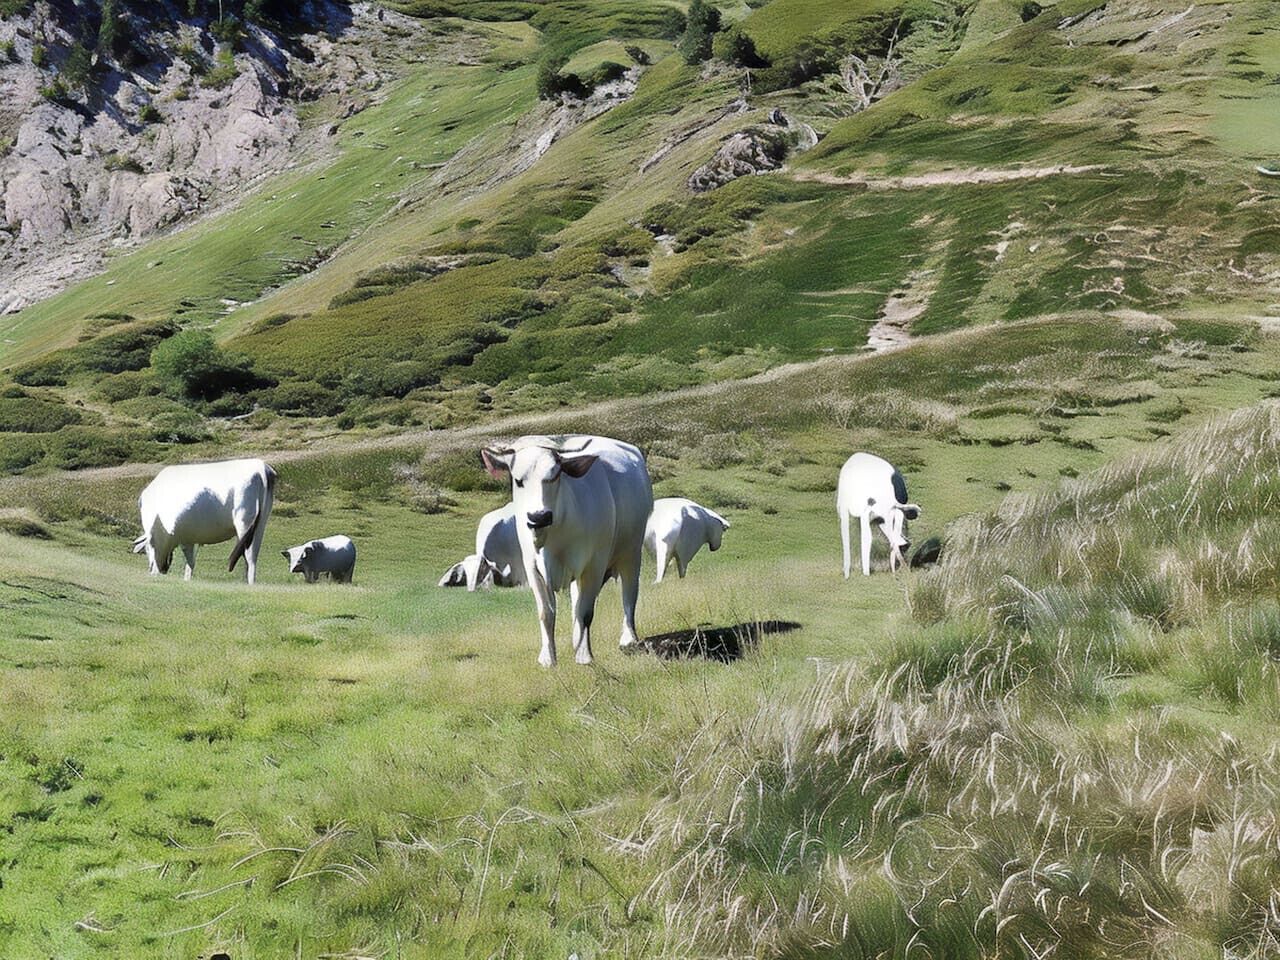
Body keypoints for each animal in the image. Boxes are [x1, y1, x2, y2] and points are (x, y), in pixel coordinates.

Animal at [132, 458, 276, 584]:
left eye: (145, 550)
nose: (162, 569)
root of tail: (261, 467)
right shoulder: (188, 537)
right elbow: (190, 563)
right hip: (260, 525)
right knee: (252, 556)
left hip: (244, 521)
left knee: (249, 557)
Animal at [480, 434, 653, 667]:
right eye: (518, 480)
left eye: (555, 476)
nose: (539, 516)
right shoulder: (533, 567)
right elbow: (546, 613)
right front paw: (548, 658)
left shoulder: (594, 565)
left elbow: (586, 611)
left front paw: (584, 655)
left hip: (631, 553)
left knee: (629, 594)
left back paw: (628, 638)